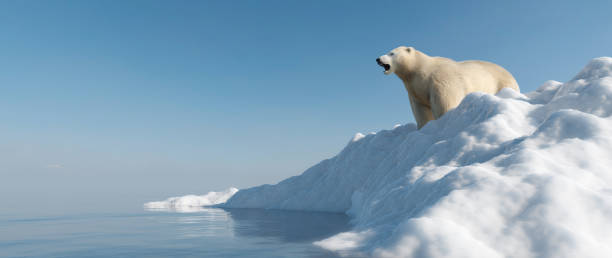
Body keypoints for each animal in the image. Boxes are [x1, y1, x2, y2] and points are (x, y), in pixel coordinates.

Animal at [376, 46, 520, 129]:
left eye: (391, 53)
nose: (378, 59)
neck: (420, 70)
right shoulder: (415, 89)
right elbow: (421, 111)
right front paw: (423, 127)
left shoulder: (440, 81)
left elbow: (444, 104)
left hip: (502, 84)